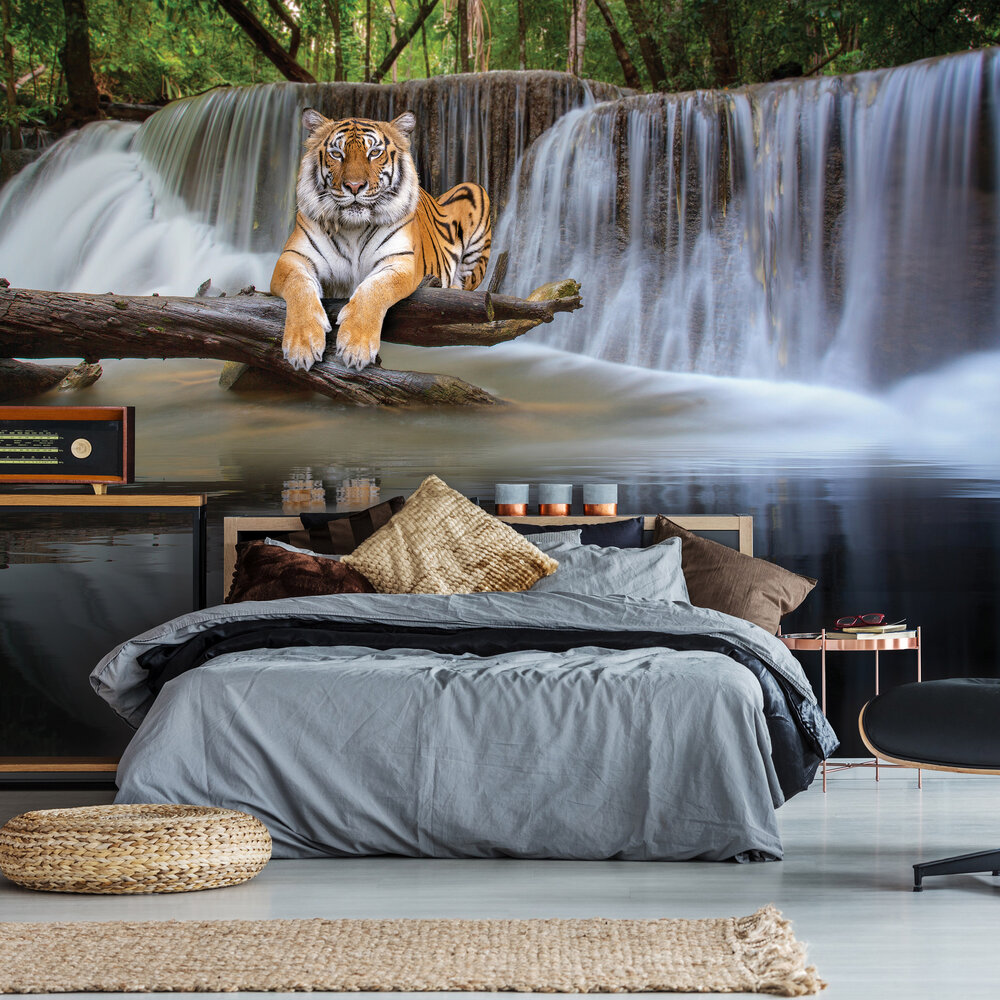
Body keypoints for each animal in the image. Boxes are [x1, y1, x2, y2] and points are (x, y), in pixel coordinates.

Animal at [271, 108, 492, 371]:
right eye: (337, 154)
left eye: (374, 153)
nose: (354, 186)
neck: (353, 227)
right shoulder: (293, 258)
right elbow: (299, 286)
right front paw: (302, 343)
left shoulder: (399, 262)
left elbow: (374, 288)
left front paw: (356, 345)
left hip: (474, 190)